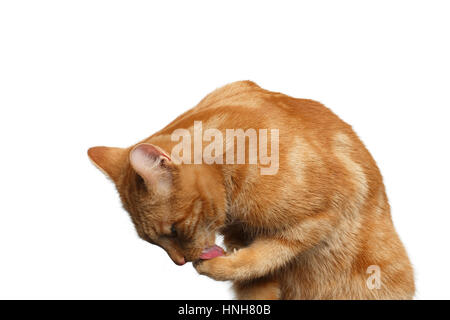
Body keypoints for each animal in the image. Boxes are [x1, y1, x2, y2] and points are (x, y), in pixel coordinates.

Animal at [88, 80, 414, 300]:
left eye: (174, 230)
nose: (180, 262)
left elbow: (264, 256)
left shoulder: (321, 216)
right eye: (151, 241)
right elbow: (257, 280)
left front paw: (219, 268)